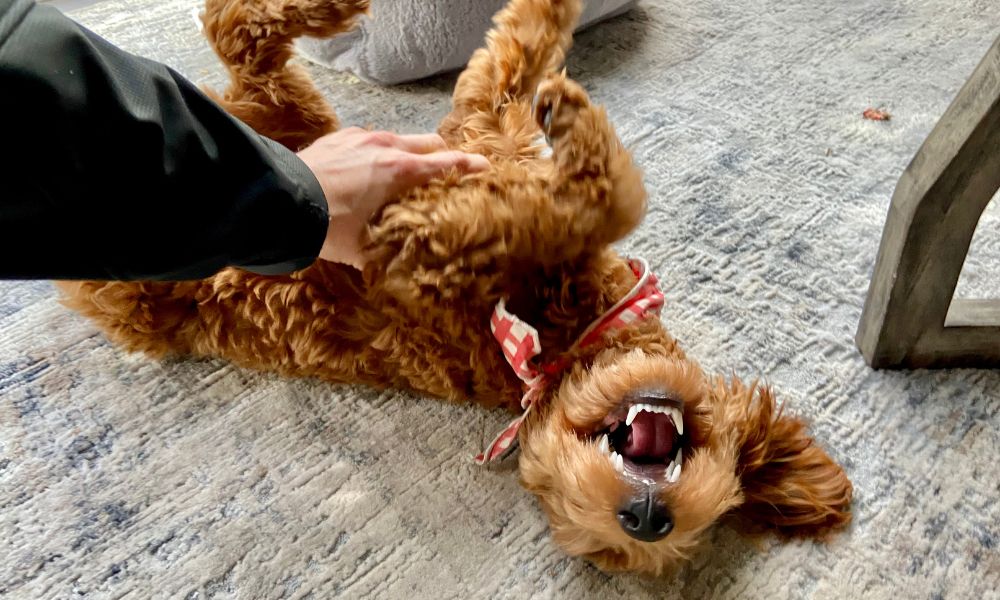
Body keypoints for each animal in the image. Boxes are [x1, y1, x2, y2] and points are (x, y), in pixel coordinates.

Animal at [56, 0, 852, 576]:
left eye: (604, 544)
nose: (648, 520)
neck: (566, 333)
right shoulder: (477, 123)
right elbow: (518, 54)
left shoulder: (409, 259)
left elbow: (595, 200)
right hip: (294, 127)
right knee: (241, 43)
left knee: (237, 65)